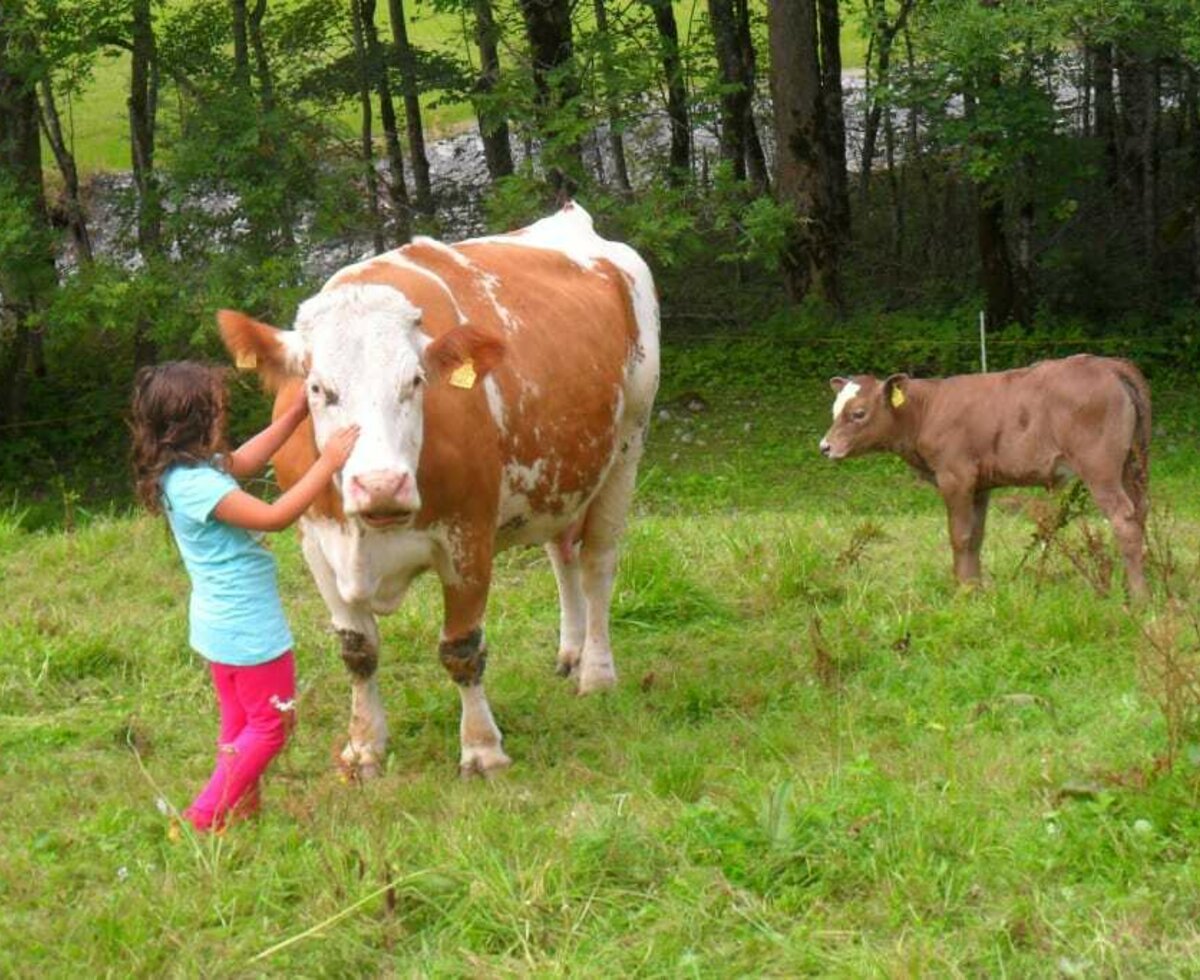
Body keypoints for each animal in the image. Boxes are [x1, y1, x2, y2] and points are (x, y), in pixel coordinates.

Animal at [220, 202, 662, 777]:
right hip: (558, 476)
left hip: (627, 446)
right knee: (563, 555)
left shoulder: (468, 538)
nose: (380, 485)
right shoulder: (317, 543)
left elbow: (461, 649)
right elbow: (357, 651)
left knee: (596, 565)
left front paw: (482, 749)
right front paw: (364, 747)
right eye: (318, 389)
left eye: (415, 382)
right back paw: (571, 653)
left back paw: (597, 673)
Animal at [820, 352, 1147, 597]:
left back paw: (1138, 598)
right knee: (1141, 512)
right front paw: (976, 589)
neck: (926, 410)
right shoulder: (979, 485)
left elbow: (960, 536)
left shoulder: (955, 476)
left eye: (858, 413)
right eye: (835, 411)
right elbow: (976, 536)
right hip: (1132, 465)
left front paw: (963, 591)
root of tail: (1107, 364)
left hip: (1100, 468)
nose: (825, 446)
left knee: (1124, 518)